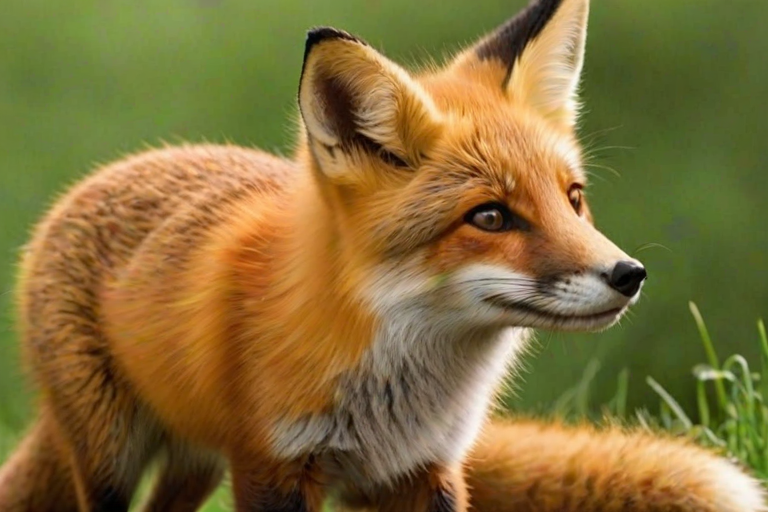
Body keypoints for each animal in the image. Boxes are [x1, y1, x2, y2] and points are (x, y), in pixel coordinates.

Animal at [0, 0, 765, 511]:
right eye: (490, 216)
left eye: (573, 199)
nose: (629, 275)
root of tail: (99, 178)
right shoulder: (275, 466)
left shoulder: (422, 470)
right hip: (112, 455)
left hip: (195, 460)